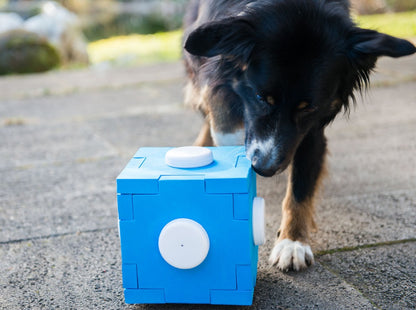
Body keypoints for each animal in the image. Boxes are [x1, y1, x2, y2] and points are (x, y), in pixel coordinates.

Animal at [183, 0, 416, 272]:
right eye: (261, 97)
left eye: (308, 108)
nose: (264, 169)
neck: (300, 6)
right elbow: (219, 106)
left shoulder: (312, 126)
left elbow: (301, 184)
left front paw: (292, 243)